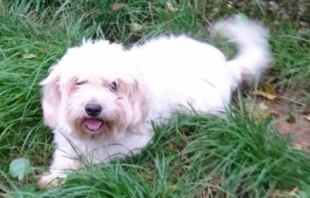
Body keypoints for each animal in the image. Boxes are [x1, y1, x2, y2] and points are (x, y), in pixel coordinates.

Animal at [38, 15, 272, 187]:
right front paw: (55, 176)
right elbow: (63, 157)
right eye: (79, 82)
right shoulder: (66, 141)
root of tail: (226, 67)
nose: (93, 108)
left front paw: (70, 176)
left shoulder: (131, 146)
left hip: (204, 110)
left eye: (113, 85)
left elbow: (95, 161)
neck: (94, 136)